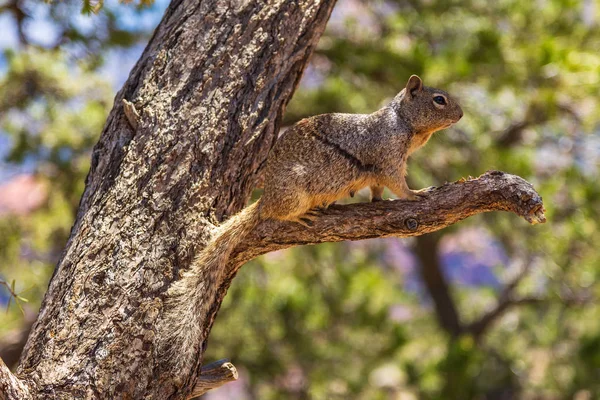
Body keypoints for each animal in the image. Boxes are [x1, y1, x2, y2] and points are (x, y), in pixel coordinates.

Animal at [157, 74, 462, 372]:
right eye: (439, 100)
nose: (460, 114)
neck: (403, 123)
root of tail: (265, 199)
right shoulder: (388, 157)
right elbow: (396, 182)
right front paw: (415, 193)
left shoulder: (381, 169)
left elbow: (377, 188)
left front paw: (379, 200)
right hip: (294, 192)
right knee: (279, 213)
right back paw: (301, 214)